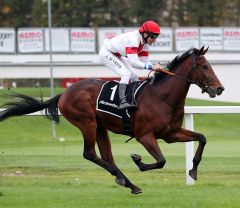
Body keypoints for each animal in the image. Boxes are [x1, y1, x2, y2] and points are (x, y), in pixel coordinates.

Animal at [0, 46, 224, 193]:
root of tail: (64, 94)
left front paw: (193, 171)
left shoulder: (171, 133)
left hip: (100, 127)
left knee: (107, 156)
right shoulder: (145, 136)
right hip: (87, 122)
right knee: (89, 153)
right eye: (205, 66)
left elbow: (202, 138)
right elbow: (160, 161)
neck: (163, 96)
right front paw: (139, 161)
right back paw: (123, 179)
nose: (220, 88)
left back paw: (129, 183)